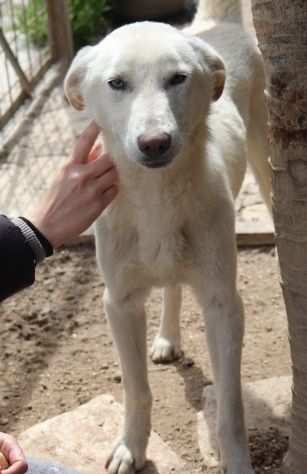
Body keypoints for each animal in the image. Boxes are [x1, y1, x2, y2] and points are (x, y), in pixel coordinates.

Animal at [65, 0, 272, 470]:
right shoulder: (119, 303)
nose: (155, 142)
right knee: (172, 286)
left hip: (267, 164)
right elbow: (136, 391)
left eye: (177, 78)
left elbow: (230, 408)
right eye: (117, 84)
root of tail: (216, 25)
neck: (156, 198)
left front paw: (237, 461)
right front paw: (132, 447)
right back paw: (167, 338)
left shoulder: (223, 305)